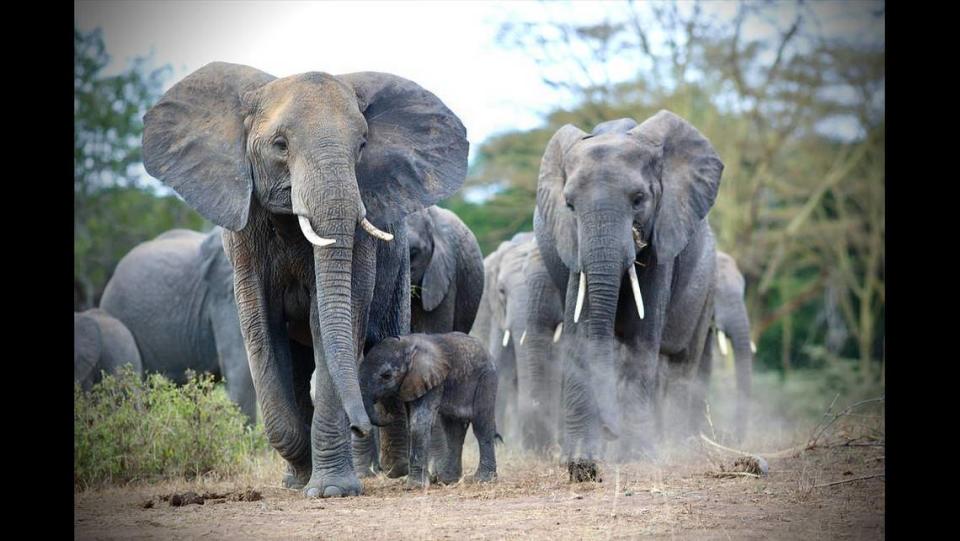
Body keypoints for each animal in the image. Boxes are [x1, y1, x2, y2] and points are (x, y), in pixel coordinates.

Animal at [142, 61, 468, 496]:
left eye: (362, 145)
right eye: (280, 145)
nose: (360, 426)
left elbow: (330, 322)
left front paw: (332, 490)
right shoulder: (243, 239)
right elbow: (261, 330)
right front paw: (300, 475)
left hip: (398, 266)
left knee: (384, 337)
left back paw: (395, 468)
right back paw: (299, 476)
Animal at [358, 332, 498, 488]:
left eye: (386, 376)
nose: (389, 414)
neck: (406, 344)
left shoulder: (431, 380)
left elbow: (418, 423)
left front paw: (415, 486)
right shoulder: (411, 384)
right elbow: (410, 424)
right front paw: (423, 481)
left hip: (486, 378)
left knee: (481, 425)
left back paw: (483, 479)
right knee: (454, 430)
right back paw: (447, 480)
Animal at [536, 110, 724, 476]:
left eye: (639, 200)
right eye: (569, 205)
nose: (611, 430)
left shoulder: (663, 237)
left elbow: (642, 339)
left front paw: (636, 458)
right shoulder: (573, 246)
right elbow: (581, 334)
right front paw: (580, 460)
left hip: (707, 280)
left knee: (683, 364)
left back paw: (678, 448)